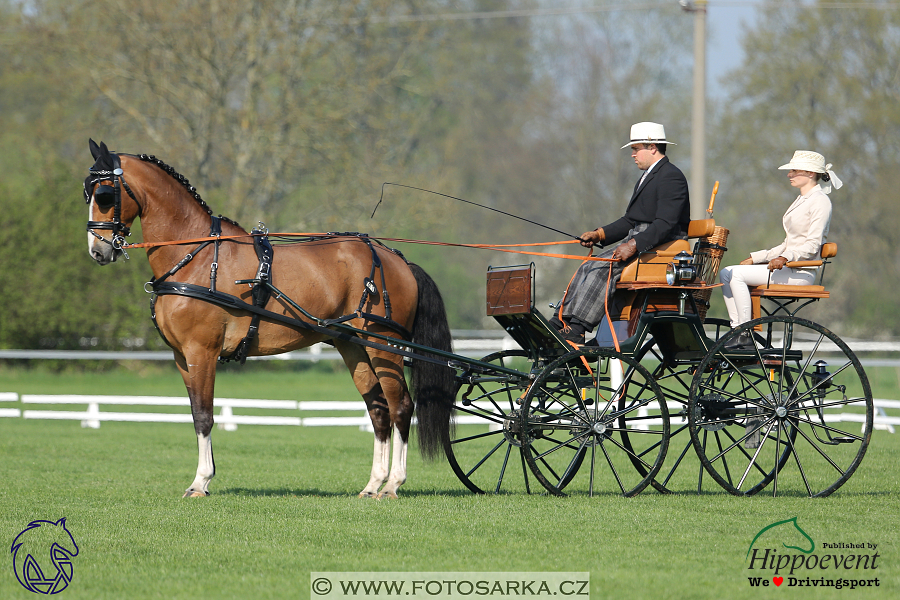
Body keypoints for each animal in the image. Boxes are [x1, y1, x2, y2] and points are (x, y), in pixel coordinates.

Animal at [84, 139, 458, 496]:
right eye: (87, 192)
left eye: (104, 195)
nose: (97, 251)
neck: (196, 257)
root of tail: (395, 259)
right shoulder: (182, 356)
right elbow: (195, 415)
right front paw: (204, 477)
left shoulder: (202, 351)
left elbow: (205, 415)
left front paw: (200, 482)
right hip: (354, 346)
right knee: (379, 409)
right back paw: (372, 485)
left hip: (383, 344)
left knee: (401, 406)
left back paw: (393, 483)